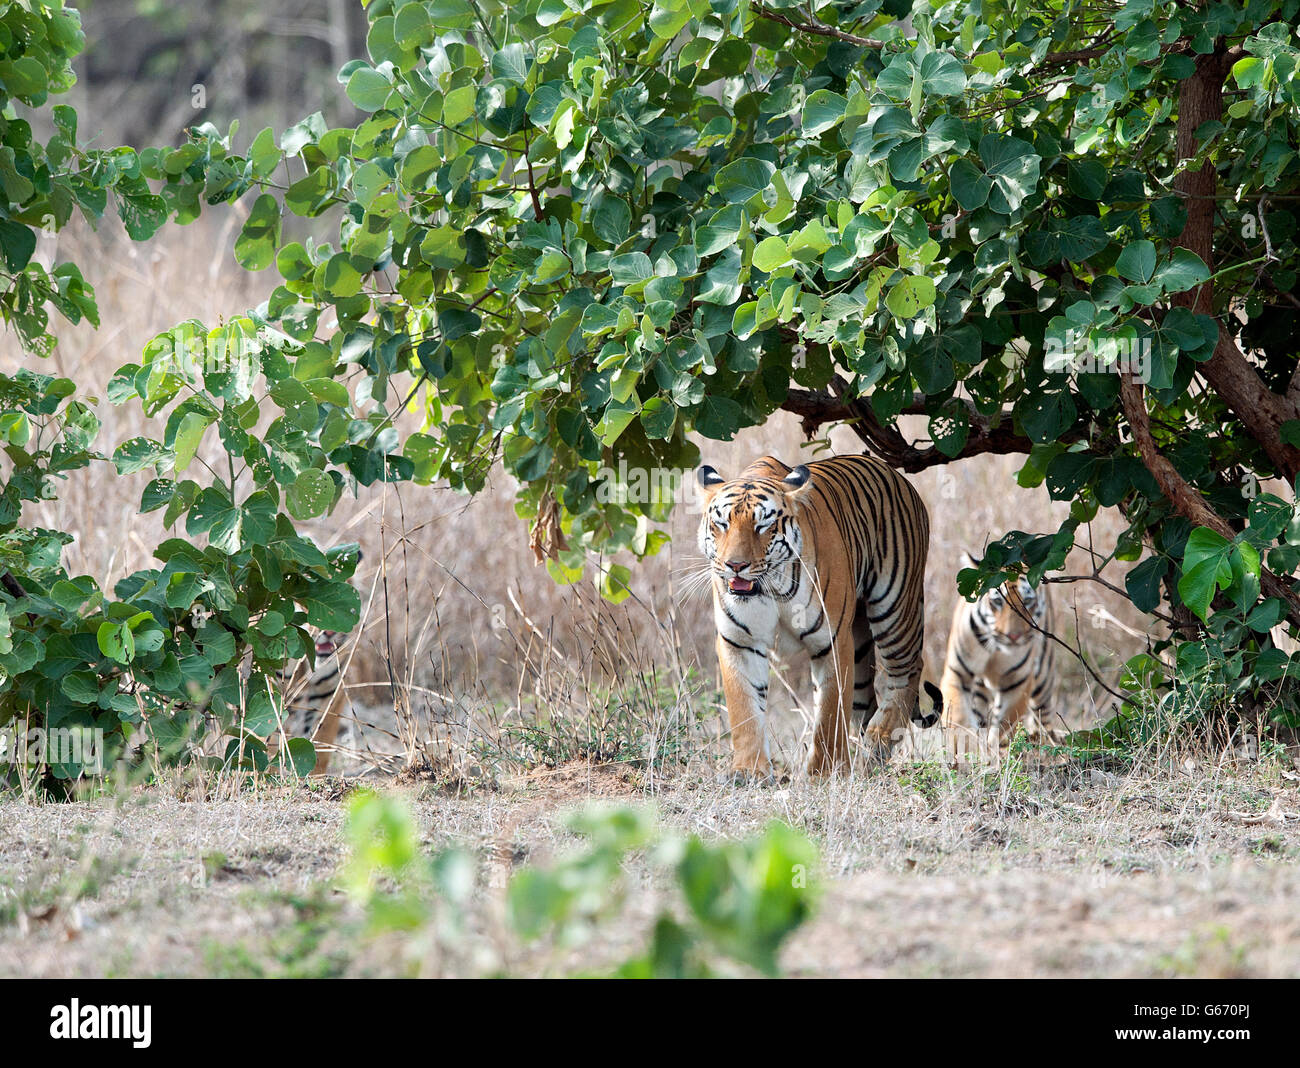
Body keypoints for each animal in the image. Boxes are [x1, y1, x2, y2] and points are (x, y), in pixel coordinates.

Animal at [702, 452, 935, 779]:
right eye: (721, 524)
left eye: (763, 526)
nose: (735, 565)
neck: (770, 588)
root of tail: (897, 475)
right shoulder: (738, 642)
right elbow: (744, 708)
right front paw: (749, 771)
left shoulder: (832, 641)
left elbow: (829, 712)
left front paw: (825, 773)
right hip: (860, 642)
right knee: (865, 698)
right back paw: (867, 759)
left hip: (896, 606)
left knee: (908, 670)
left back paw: (879, 740)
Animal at [946, 563, 1055, 758]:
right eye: (997, 601)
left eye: (1028, 601)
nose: (1013, 636)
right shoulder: (958, 673)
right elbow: (957, 715)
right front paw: (963, 747)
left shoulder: (1016, 683)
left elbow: (1003, 723)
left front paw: (993, 751)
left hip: (1043, 680)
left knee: (1044, 717)